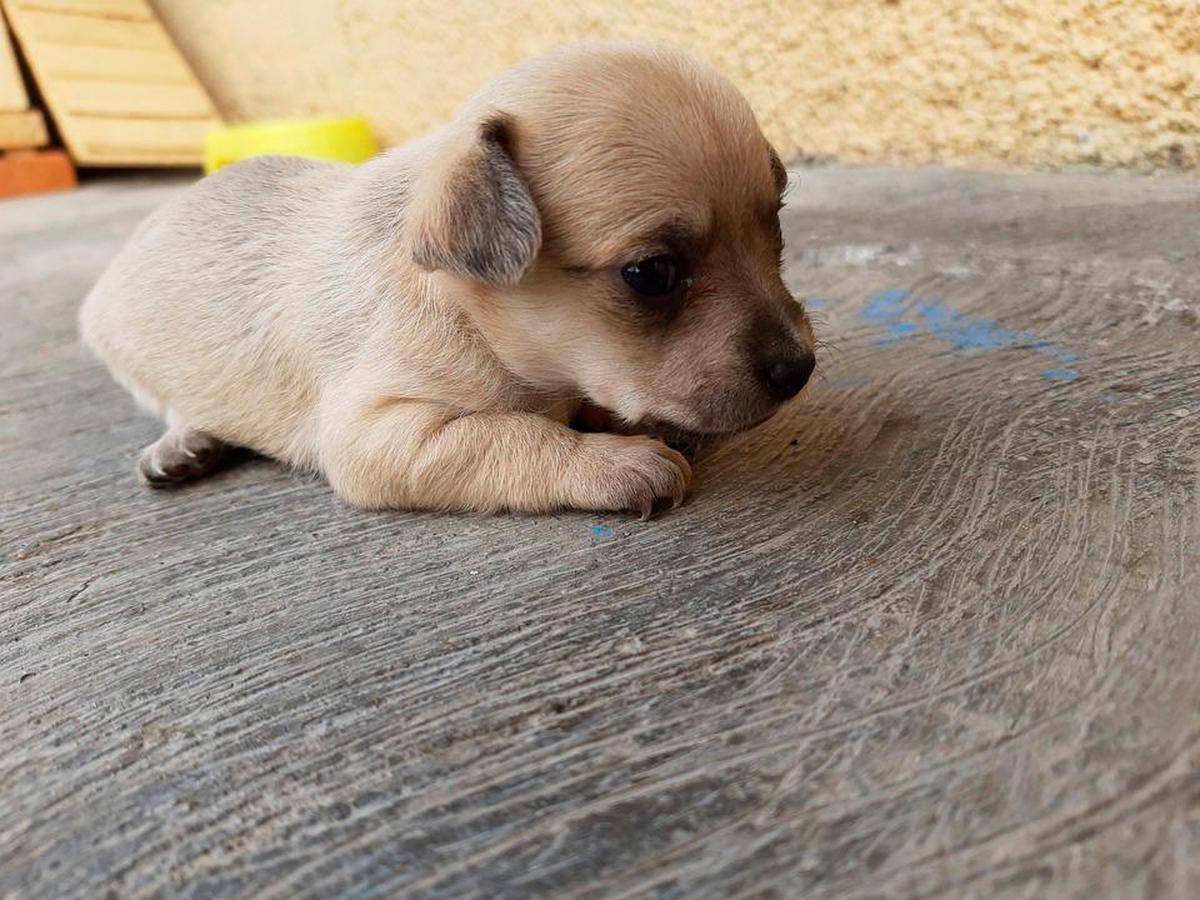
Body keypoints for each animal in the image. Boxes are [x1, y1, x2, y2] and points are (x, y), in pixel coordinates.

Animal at [79, 44, 816, 513]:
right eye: (651, 274)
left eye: (776, 228)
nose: (800, 369)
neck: (472, 314)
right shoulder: (379, 433)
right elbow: (514, 436)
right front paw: (613, 461)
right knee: (172, 401)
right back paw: (186, 441)